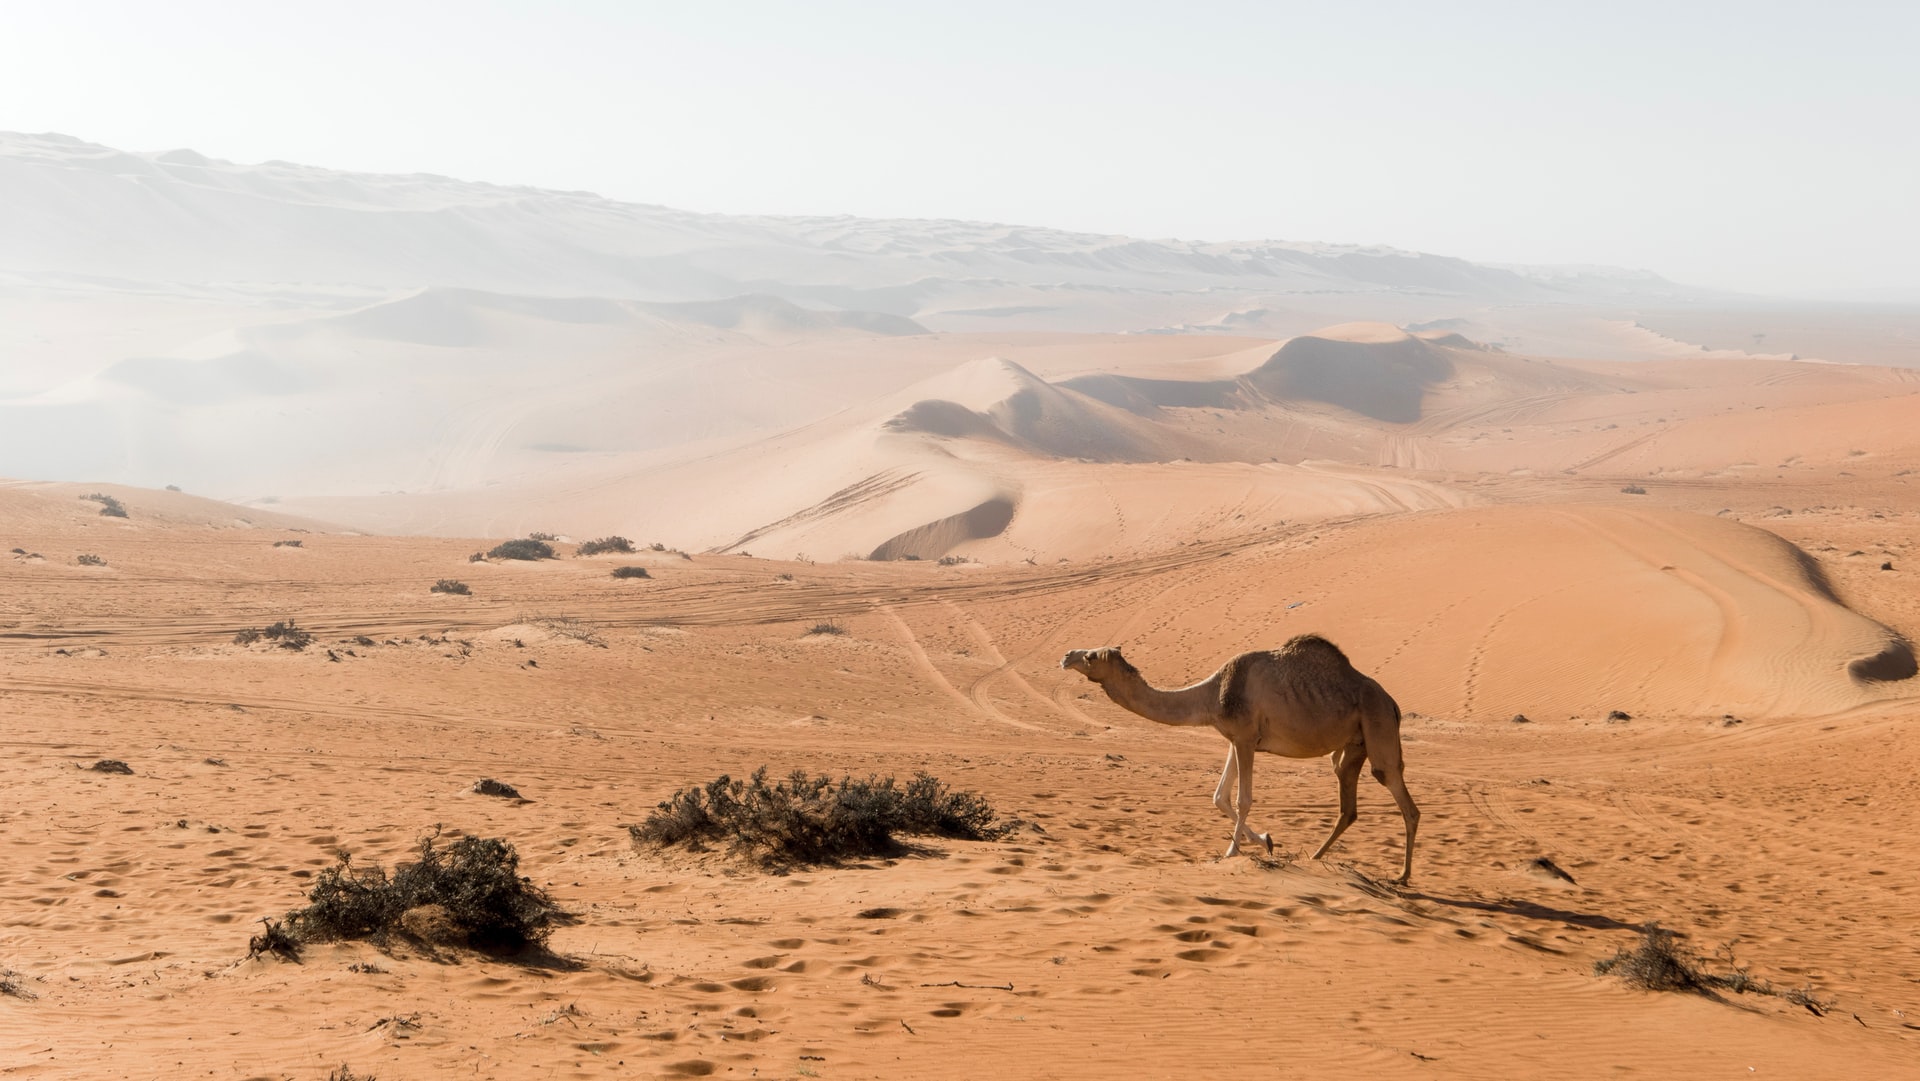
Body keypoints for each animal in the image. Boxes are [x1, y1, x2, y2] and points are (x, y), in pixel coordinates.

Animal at [1059, 637, 1420, 883]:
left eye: (1091, 655)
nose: (1066, 655)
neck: (1212, 694)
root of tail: (1393, 704)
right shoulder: (1235, 740)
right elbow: (1219, 796)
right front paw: (1267, 841)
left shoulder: (1245, 738)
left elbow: (1242, 798)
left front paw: (1232, 852)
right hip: (1353, 745)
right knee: (1348, 804)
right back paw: (1316, 856)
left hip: (1378, 725)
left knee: (1400, 795)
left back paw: (1402, 876)